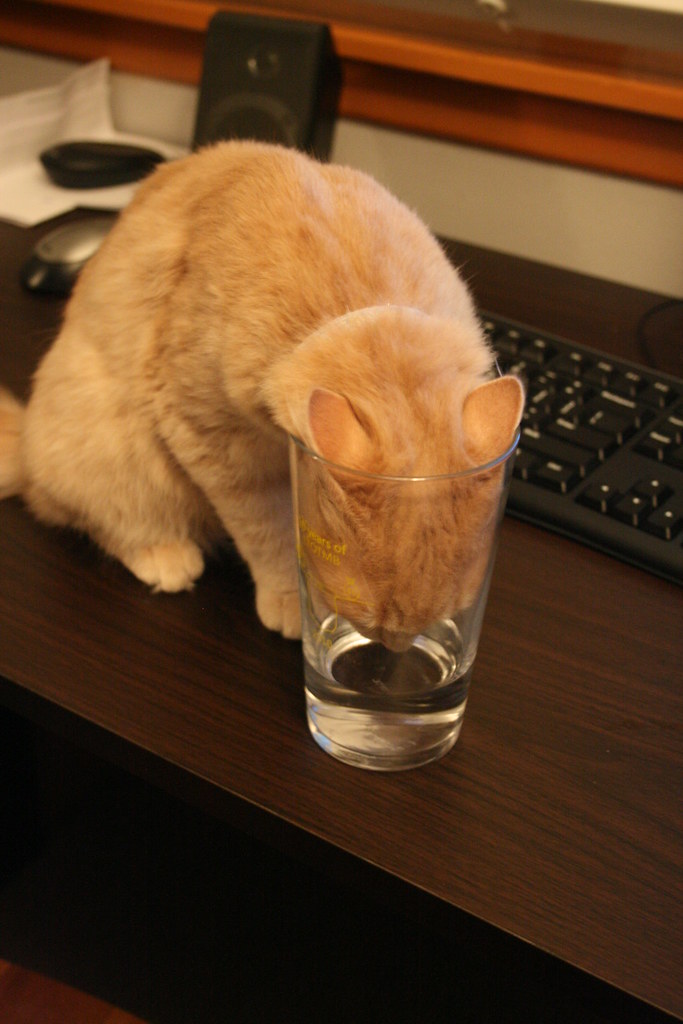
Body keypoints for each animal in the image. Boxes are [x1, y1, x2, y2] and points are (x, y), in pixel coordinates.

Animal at [0, 142, 524, 638]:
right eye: (373, 627)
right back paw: (164, 555)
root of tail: (24, 442)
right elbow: (267, 531)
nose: (394, 649)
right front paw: (289, 594)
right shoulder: (213, 439)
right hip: (111, 444)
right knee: (99, 518)